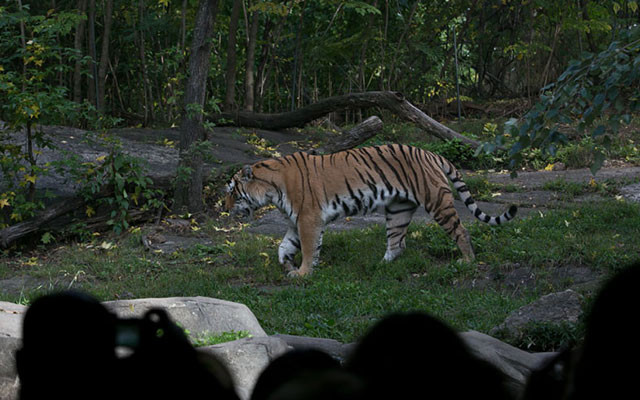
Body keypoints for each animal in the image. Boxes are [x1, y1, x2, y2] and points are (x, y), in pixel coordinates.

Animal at [224, 144, 516, 278]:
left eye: (231, 192)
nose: (224, 209)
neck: (271, 189)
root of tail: (431, 154)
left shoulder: (308, 218)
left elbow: (308, 248)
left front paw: (303, 272)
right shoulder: (295, 221)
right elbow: (283, 246)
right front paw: (288, 265)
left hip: (437, 202)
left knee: (461, 230)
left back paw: (467, 261)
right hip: (398, 210)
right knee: (397, 243)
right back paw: (378, 265)